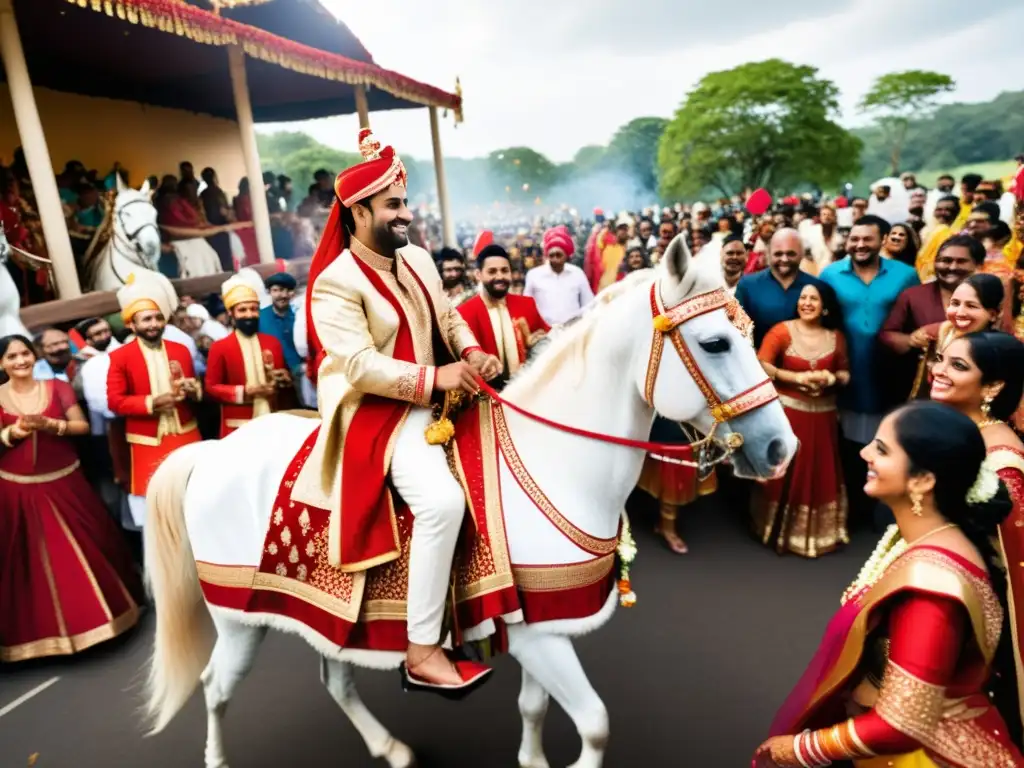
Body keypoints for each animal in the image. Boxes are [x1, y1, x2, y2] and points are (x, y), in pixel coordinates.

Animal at [140, 236, 794, 768]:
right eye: (714, 342)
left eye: (749, 334)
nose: (780, 447)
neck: (553, 460)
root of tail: (209, 454)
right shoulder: (541, 639)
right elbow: (595, 724)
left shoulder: (537, 628)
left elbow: (535, 710)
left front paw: (531, 760)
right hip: (238, 619)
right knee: (215, 688)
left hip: (323, 613)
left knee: (335, 679)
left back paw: (389, 747)